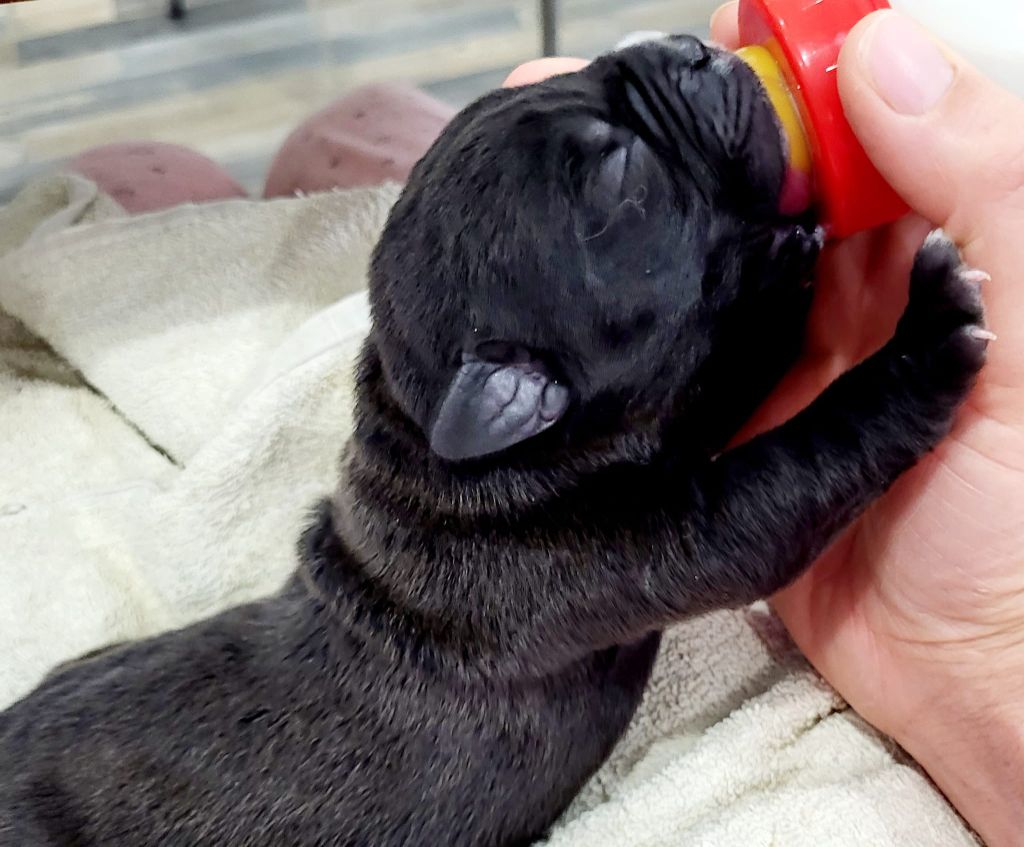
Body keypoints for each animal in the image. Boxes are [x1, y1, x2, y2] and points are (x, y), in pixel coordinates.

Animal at [0, 36, 991, 843]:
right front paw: (924, 332)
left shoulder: (664, 417)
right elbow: (793, 469)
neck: (441, 445)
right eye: (623, 175)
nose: (694, 48)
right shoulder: (656, 539)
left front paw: (782, 268)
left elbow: (723, 365)